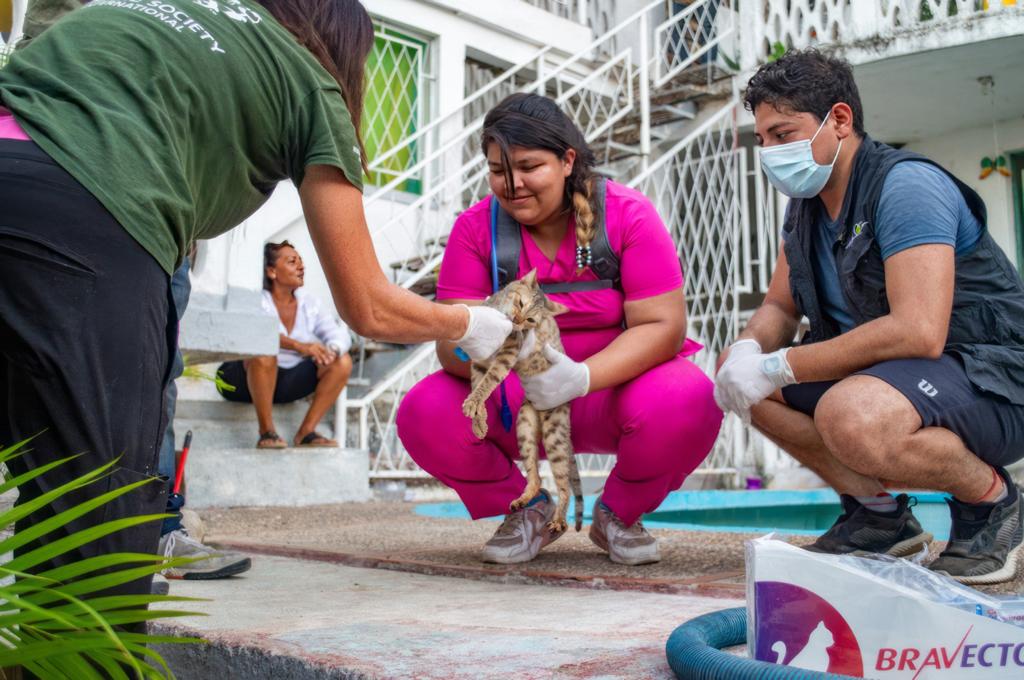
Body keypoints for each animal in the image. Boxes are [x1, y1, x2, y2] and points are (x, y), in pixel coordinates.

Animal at [460, 270, 581, 532]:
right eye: (520, 303)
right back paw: (524, 499)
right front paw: (479, 421)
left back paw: (559, 519)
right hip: (524, 425)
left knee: (564, 484)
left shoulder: (509, 352)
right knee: (535, 477)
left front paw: (474, 406)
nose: (516, 320)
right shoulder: (479, 360)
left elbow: (489, 381)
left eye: (531, 320)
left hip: (554, 435)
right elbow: (478, 384)